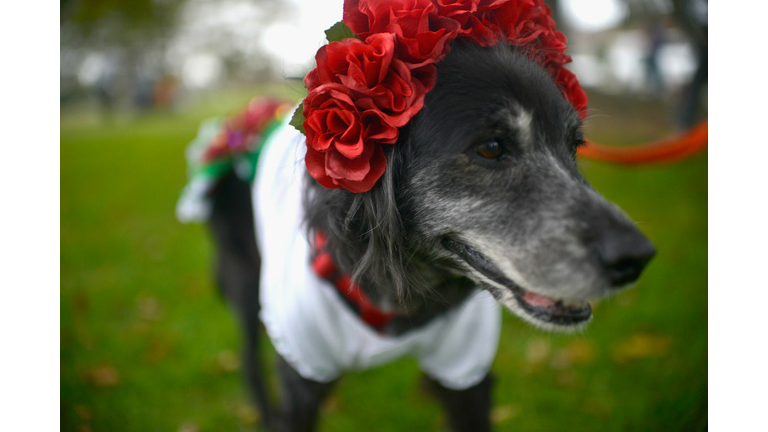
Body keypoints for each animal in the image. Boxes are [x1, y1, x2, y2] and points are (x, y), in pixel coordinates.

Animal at [180, 23, 656, 432]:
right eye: (491, 147)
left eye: (573, 147)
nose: (637, 257)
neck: (402, 293)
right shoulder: (302, 376)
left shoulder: (466, 373)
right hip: (244, 285)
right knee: (248, 361)